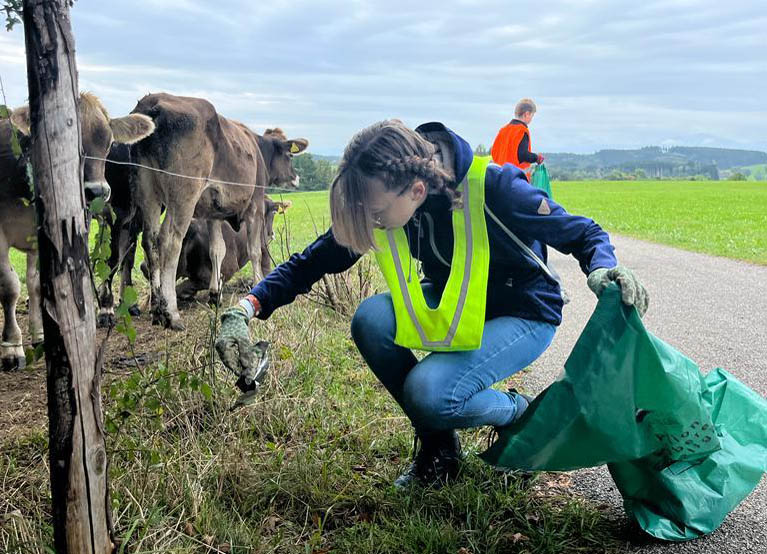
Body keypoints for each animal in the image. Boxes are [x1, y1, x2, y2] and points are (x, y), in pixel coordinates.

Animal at [0, 93, 156, 368]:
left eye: (108, 142)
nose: (97, 191)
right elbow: (9, 286)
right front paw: (11, 348)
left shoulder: (119, 216)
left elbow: (112, 260)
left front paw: (106, 307)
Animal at [130, 91, 306, 328]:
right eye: (290, 155)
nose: (297, 178)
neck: (258, 149)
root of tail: (154, 103)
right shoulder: (255, 205)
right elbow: (255, 250)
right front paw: (257, 283)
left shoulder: (212, 212)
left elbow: (217, 249)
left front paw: (215, 293)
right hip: (183, 195)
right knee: (169, 240)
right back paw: (171, 312)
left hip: (146, 188)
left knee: (150, 240)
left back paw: (157, 308)